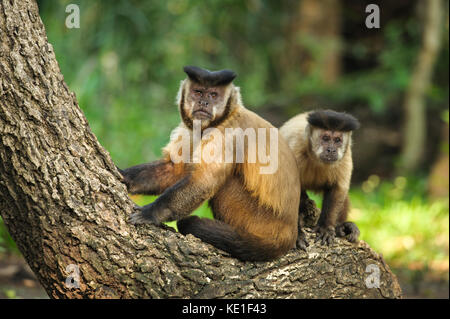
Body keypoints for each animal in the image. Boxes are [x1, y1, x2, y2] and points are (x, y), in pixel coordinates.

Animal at [118, 66, 300, 262]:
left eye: (213, 95)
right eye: (198, 92)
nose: (203, 102)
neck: (224, 118)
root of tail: (289, 233)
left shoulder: (228, 133)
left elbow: (203, 181)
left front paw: (151, 213)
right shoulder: (191, 130)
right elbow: (175, 169)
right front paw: (124, 176)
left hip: (261, 222)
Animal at [280, 111, 360, 249]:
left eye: (337, 140)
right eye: (326, 138)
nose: (331, 149)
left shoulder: (346, 156)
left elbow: (338, 190)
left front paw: (326, 228)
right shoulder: (295, 148)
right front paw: (297, 234)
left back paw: (341, 227)